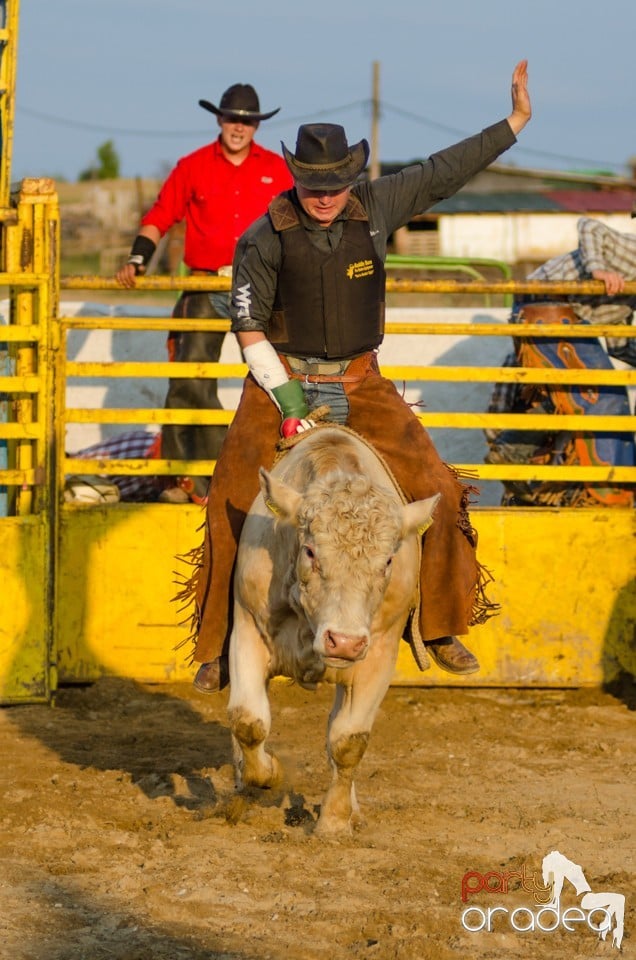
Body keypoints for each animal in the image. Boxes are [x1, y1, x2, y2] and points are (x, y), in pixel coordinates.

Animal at [229, 424, 442, 836]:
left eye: (387, 560)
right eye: (311, 551)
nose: (343, 642)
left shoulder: (378, 655)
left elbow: (348, 741)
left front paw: (335, 821)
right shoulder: (247, 631)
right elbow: (248, 720)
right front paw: (267, 773)